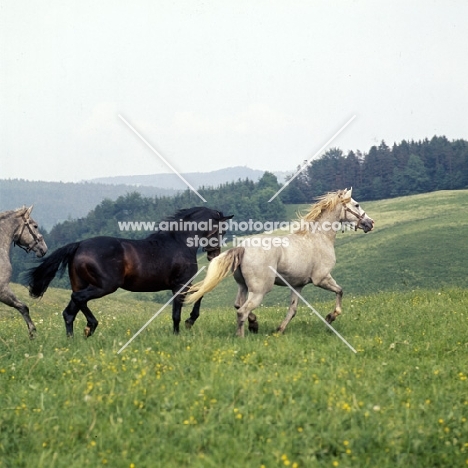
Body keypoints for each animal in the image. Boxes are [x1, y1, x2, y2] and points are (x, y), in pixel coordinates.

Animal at [27, 207, 232, 336]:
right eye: (222, 230)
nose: (214, 254)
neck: (180, 242)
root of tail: (79, 245)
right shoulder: (181, 284)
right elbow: (181, 310)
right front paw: (182, 329)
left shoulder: (182, 284)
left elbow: (196, 297)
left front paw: (186, 324)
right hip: (104, 286)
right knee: (78, 300)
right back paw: (91, 326)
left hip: (82, 284)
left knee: (70, 311)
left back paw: (75, 337)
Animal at [186, 188, 372, 338]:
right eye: (356, 205)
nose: (370, 223)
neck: (319, 237)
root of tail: (242, 248)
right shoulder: (322, 278)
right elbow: (340, 291)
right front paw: (330, 317)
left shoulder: (297, 285)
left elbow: (293, 310)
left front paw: (279, 330)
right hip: (260, 290)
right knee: (242, 311)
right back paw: (242, 336)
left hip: (243, 286)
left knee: (238, 305)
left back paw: (253, 325)